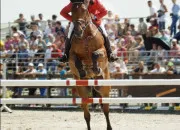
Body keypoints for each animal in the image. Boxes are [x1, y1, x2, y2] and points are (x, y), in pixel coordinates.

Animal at [68, 0, 112, 130]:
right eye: (71, 11)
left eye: (84, 10)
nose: (77, 31)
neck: (85, 35)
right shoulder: (71, 55)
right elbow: (76, 60)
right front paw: (82, 71)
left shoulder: (102, 51)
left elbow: (95, 54)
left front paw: (96, 68)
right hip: (83, 90)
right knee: (86, 114)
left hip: (104, 88)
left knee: (106, 110)